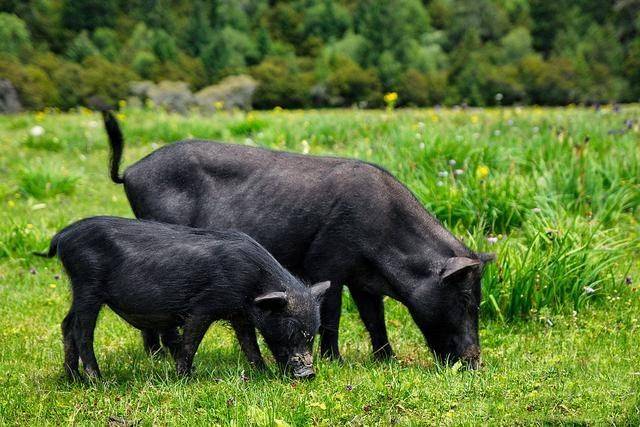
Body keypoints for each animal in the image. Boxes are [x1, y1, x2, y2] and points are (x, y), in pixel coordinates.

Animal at [38, 216, 330, 380]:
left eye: (313, 331)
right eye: (290, 328)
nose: (309, 374)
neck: (253, 283)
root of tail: (63, 235)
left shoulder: (239, 314)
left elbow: (250, 345)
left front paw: (263, 374)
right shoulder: (203, 306)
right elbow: (190, 341)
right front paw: (186, 378)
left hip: (80, 290)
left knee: (66, 324)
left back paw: (72, 378)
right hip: (87, 286)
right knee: (81, 330)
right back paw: (97, 380)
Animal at [104, 112, 496, 370]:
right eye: (466, 300)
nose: (475, 362)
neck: (384, 239)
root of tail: (131, 171)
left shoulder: (363, 280)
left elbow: (374, 317)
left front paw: (387, 360)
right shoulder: (326, 262)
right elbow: (333, 313)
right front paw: (335, 361)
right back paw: (157, 356)